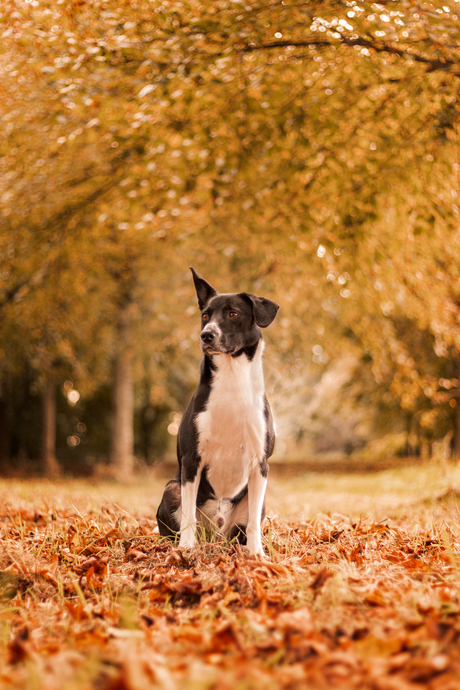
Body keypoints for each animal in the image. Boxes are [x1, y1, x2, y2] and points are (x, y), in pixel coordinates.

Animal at [156, 264, 278, 552]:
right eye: (205, 315)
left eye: (233, 313)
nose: (206, 335)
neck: (232, 381)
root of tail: (217, 535)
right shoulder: (191, 461)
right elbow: (188, 514)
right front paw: (186, 549)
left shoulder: (260, 465)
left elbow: (254, 523)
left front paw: (256, 553)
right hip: (172, 488)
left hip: (255, 501)